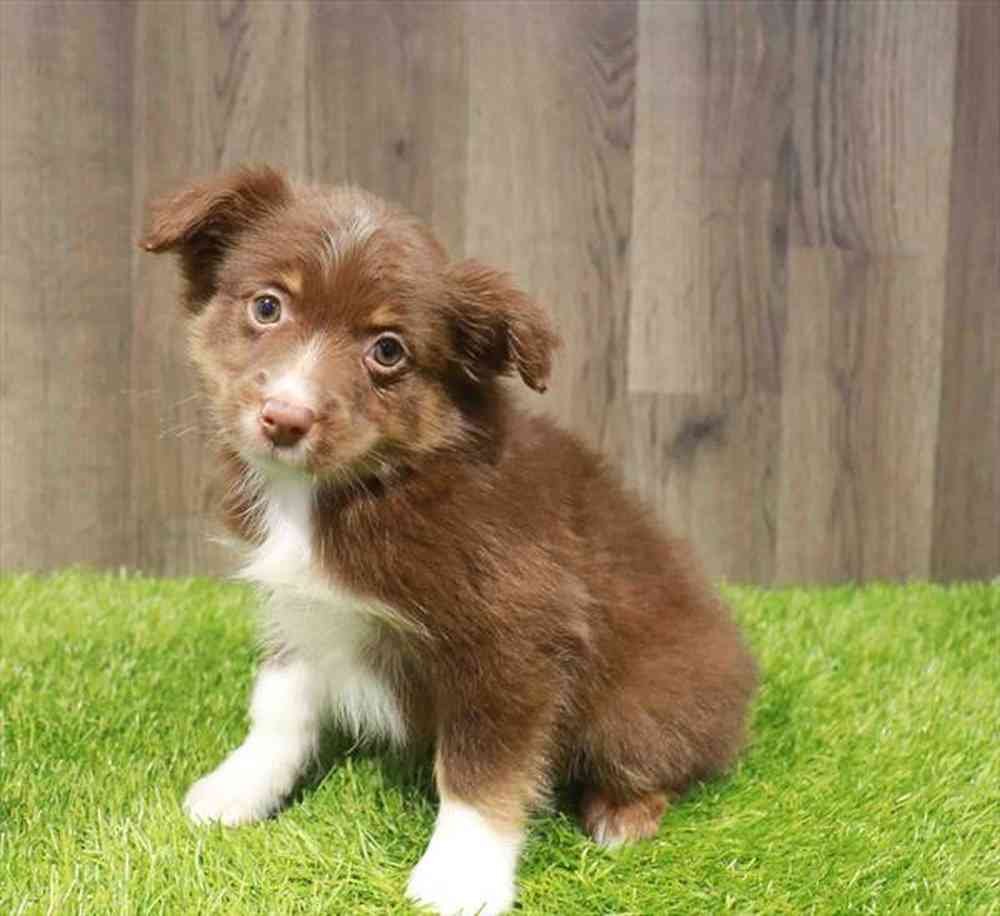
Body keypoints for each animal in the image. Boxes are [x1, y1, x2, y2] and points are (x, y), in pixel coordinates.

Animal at [142, 166, 758, 916]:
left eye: (387, 350)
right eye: (267, 306)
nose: (284, 418)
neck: (367, 487)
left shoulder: (513, 636)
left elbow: (480, 765)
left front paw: (461, 874)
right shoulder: (303, 610)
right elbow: (279, 707)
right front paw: (241, 786)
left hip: (645, 701)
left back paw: (622, 813)